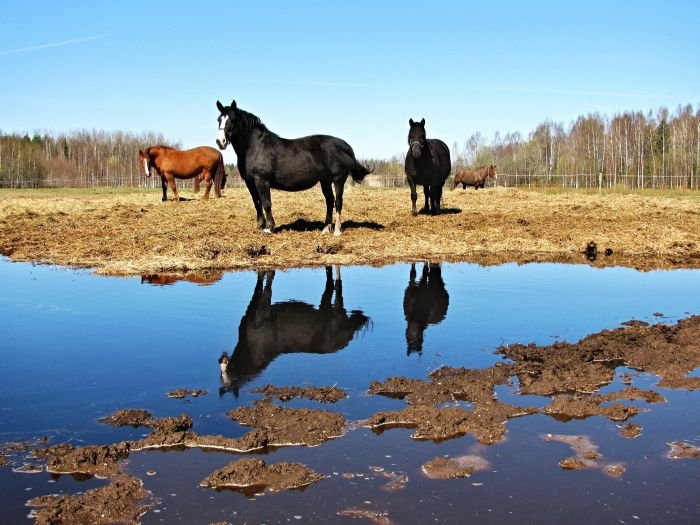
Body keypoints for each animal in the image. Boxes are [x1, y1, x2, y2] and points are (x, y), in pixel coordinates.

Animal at [217, 99, 372, 234]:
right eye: (219, 119)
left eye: (232, 120)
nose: (220, 141)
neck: (255, 147)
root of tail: (345, 146)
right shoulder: (250, 182)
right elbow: (257, 202)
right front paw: (260, 225)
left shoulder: (262, 181)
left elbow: (266, 203)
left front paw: (269, 228)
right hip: (325, 181)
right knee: (330, 201)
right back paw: (325, 229)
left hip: (338, 179)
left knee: (338, 202)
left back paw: (337, 231)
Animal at [219, 266, 372, 392]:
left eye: (232, 370)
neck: (252, 350)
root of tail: (346, 339)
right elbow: (258, 283)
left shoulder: (264, 311)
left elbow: (268, 285)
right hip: (325, 308)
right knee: (329, 280)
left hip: (338, 311)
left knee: (338, 284)